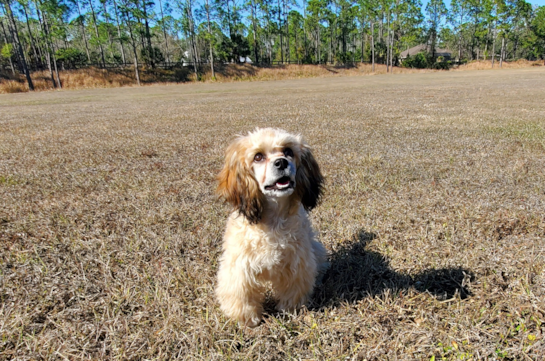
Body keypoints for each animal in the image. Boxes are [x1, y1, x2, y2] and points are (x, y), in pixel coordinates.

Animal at [216, 127, 328, 326]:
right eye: (258, 157)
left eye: (288, 151)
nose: (281, 162)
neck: (273, 221)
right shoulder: (239, 267)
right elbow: (242, 294)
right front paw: (246, 319)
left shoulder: (296, 263)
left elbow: (293, 289)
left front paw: (290, 310)